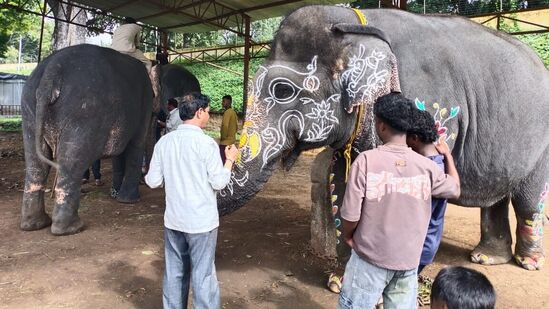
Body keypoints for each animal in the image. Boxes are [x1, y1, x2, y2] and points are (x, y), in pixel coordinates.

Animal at [20, 44, 154, 235]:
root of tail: (53, 70)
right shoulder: (146, 101)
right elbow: (136, 143)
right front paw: (129, 201)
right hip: (84, 112)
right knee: (71, 162)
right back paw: (71, 228)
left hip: (29, 107)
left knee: (36, 163)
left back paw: (34, 225)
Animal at [217, 5, 548, 274]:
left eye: (283, 90)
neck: (353, 23)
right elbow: (345, 180)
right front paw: (339, 282)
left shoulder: (431, 106)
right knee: (498, 195)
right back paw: (486, 259)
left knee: (528, 199)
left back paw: (528, 262)